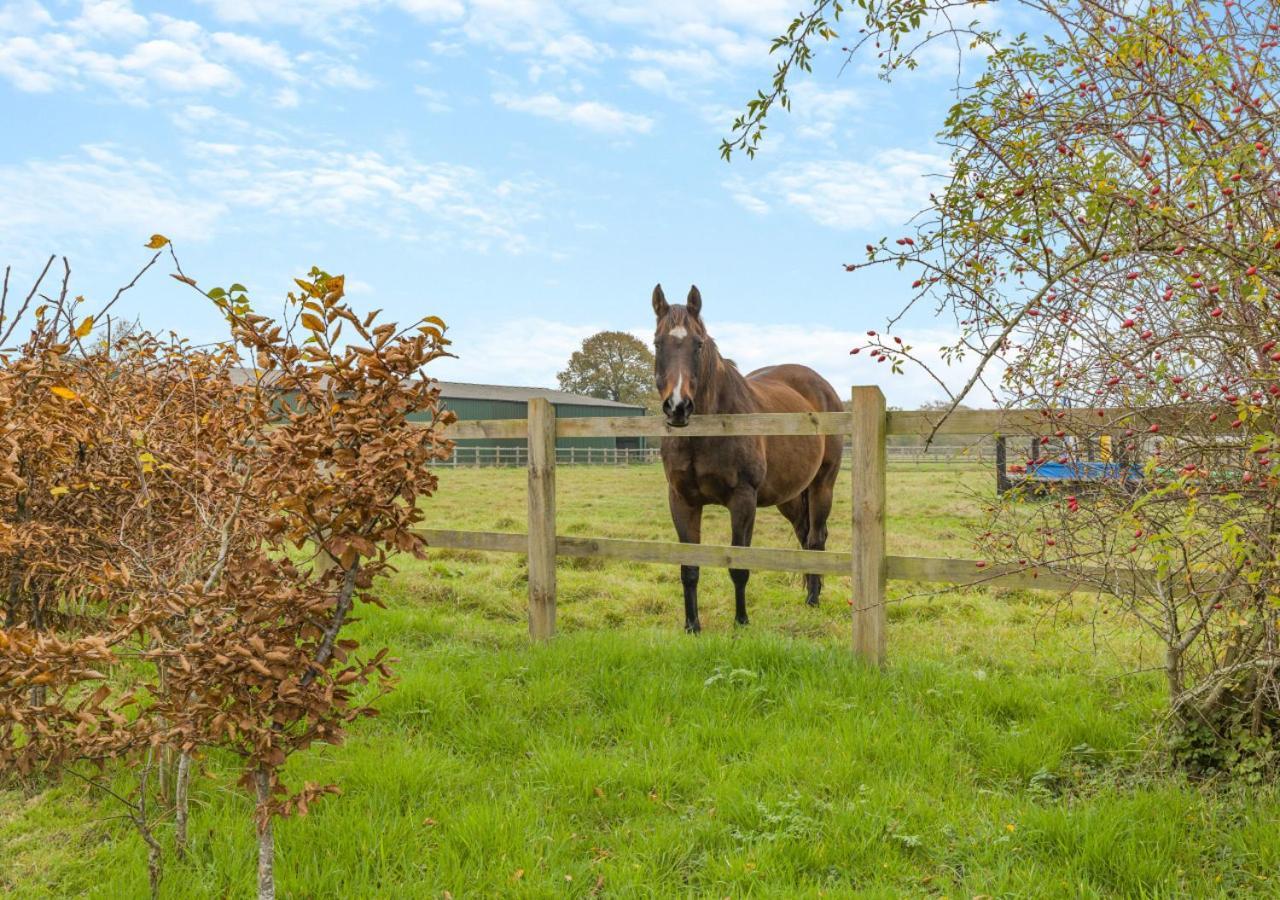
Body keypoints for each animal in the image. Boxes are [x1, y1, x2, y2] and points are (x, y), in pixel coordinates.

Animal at [655, 282, 844, 634]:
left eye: (698, 344)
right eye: (658, 343)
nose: (678, 406)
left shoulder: (743, 499)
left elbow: (739, 565)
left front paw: (741, 622)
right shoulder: (682, 500)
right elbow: (689, 568)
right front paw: (692, 626)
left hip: (822, 485)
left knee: (816, 537)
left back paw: (814, 599)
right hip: (790, 496)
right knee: (803, 533)